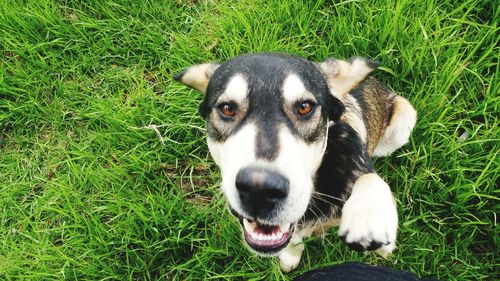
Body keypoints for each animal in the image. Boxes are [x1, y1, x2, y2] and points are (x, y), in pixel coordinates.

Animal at [174, 53, 416, 272]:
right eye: (227, 108)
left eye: (305, 107)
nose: (259, 190)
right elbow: (291, 240)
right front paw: (290, 258)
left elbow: (370, 178)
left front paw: (369, 214)